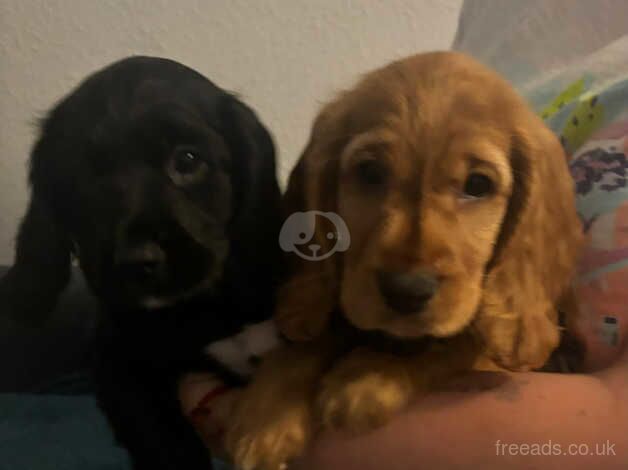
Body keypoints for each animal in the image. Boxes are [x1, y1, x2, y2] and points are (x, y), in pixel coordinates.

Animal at [0, 57, 280, 468]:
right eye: (80, 180)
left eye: (187, 159)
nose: (138, 261)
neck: (203, 308)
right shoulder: (119, 361)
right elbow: (162, 442)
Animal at [224, 51, 580, 470]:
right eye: (370, 172)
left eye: (478, 185)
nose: (406, 292)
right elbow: (313, 338)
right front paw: (264, 417)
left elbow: (452, 349)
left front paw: (367, 378)